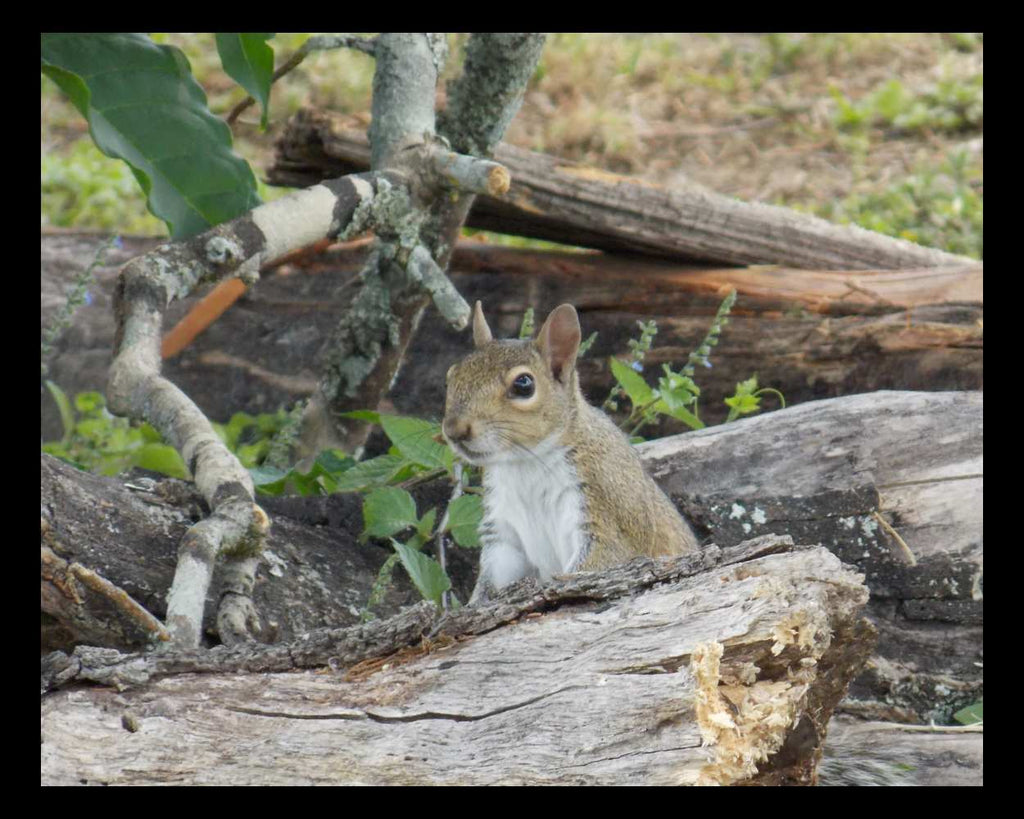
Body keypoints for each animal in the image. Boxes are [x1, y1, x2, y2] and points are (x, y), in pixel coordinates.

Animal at [442, 301, 699, 604]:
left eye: (524, 384)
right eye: (452, 375)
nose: (454, 430)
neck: (525, 463)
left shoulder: (604, 509)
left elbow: (596, 563)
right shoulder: (504, 531)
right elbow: (494, 576)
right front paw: (474, 604)